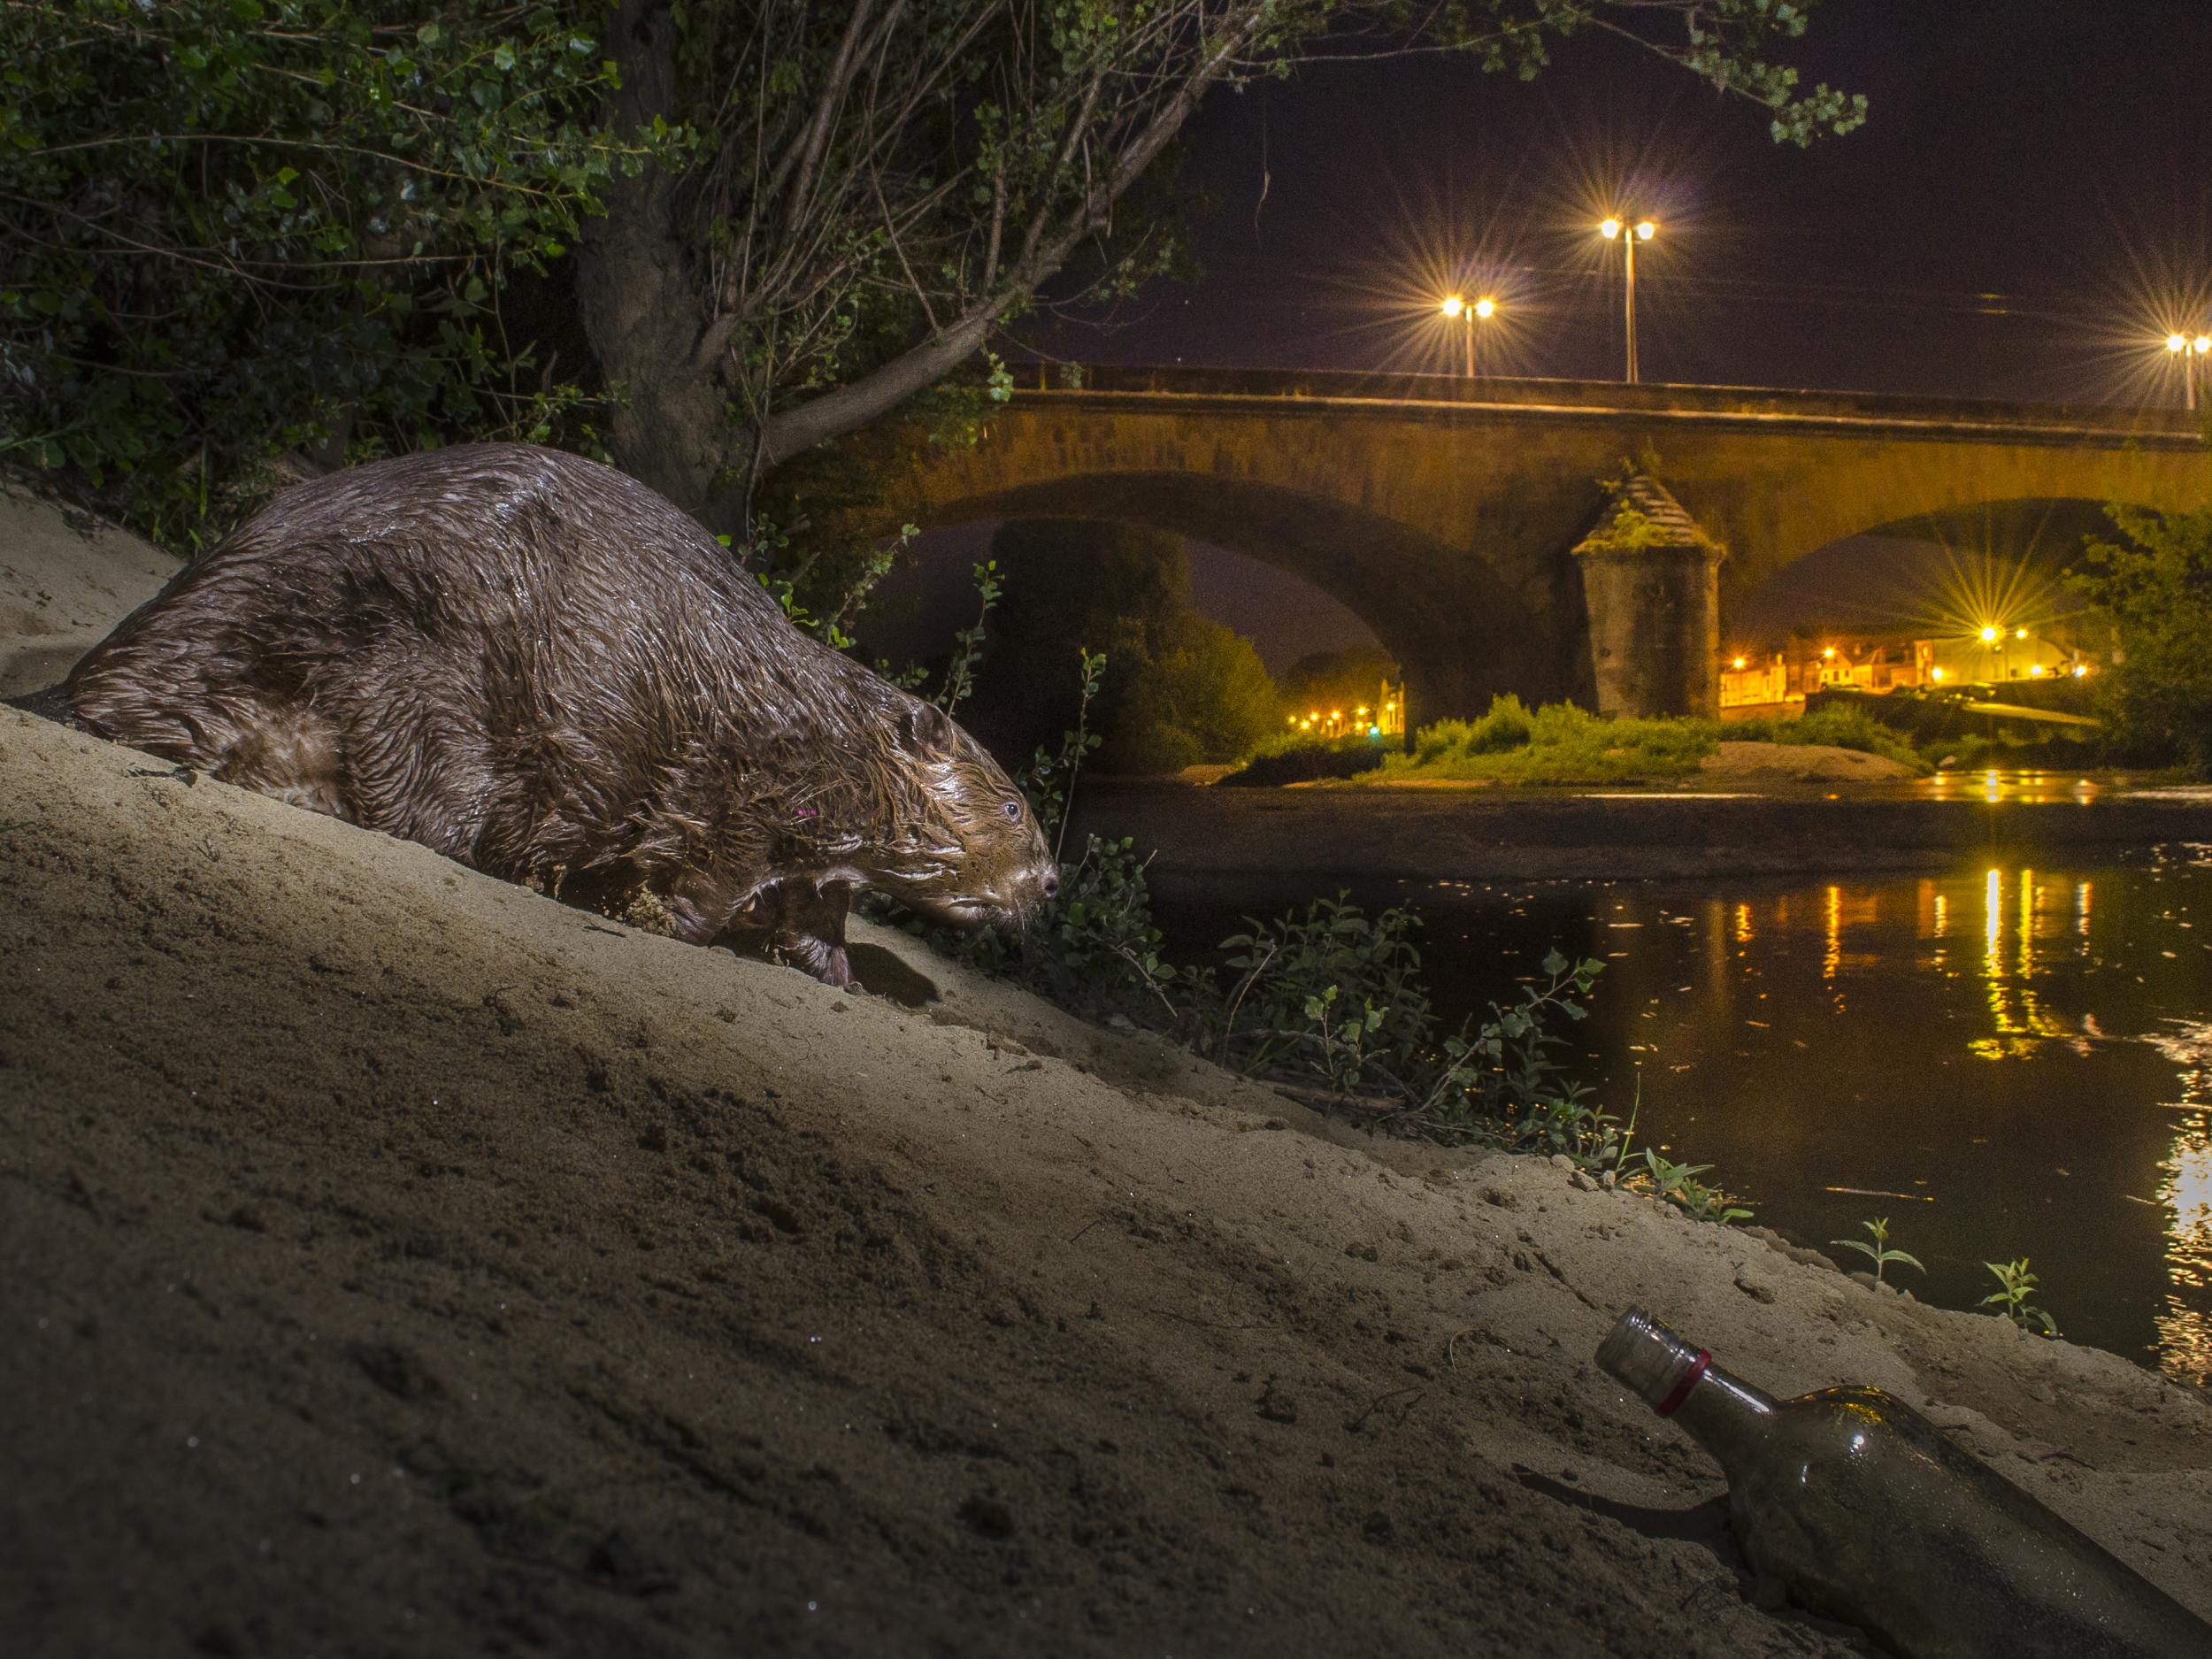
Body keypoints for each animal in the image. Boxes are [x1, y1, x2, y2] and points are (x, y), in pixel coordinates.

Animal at [23, 442, 1062, 987]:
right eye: (1014, 807)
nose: (1049, 883)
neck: (824, 715)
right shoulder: (752, 780)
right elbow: (715, 866)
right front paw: (664, 919)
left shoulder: (820, 850)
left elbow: (820, 907)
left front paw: (835, 972)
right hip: (415, 669)